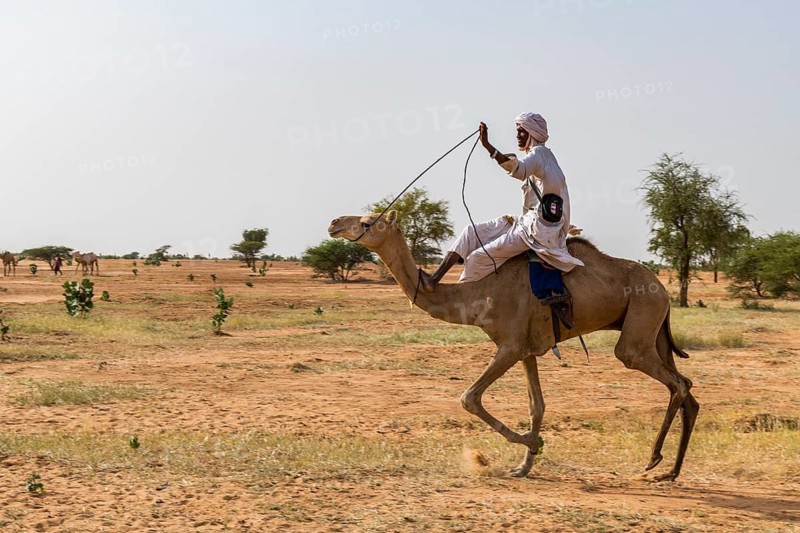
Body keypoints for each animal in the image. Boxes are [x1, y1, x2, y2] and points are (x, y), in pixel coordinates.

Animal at [328, 211, 698, 481]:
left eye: (367, 222)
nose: (334, 223)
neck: (476, 295)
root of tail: (661, 287)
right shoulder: (526, 349)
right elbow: (537, 406)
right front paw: (523, 465)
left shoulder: (509, 346)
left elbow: (470, 398)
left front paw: (531, 445)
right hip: (655, 334)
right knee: (687, 391)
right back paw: (670, 472)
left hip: (639, 327)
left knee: (672, 380)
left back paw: (654, 460)